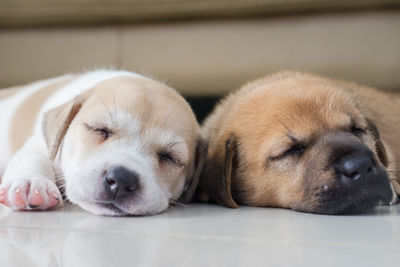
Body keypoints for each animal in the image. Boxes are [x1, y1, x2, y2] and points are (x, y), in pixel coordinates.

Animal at [0, 70, 206, 217]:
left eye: (169, 157)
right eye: (100, 130)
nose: (122, 179)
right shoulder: (40, 145)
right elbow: (33, 159)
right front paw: (31, 184)